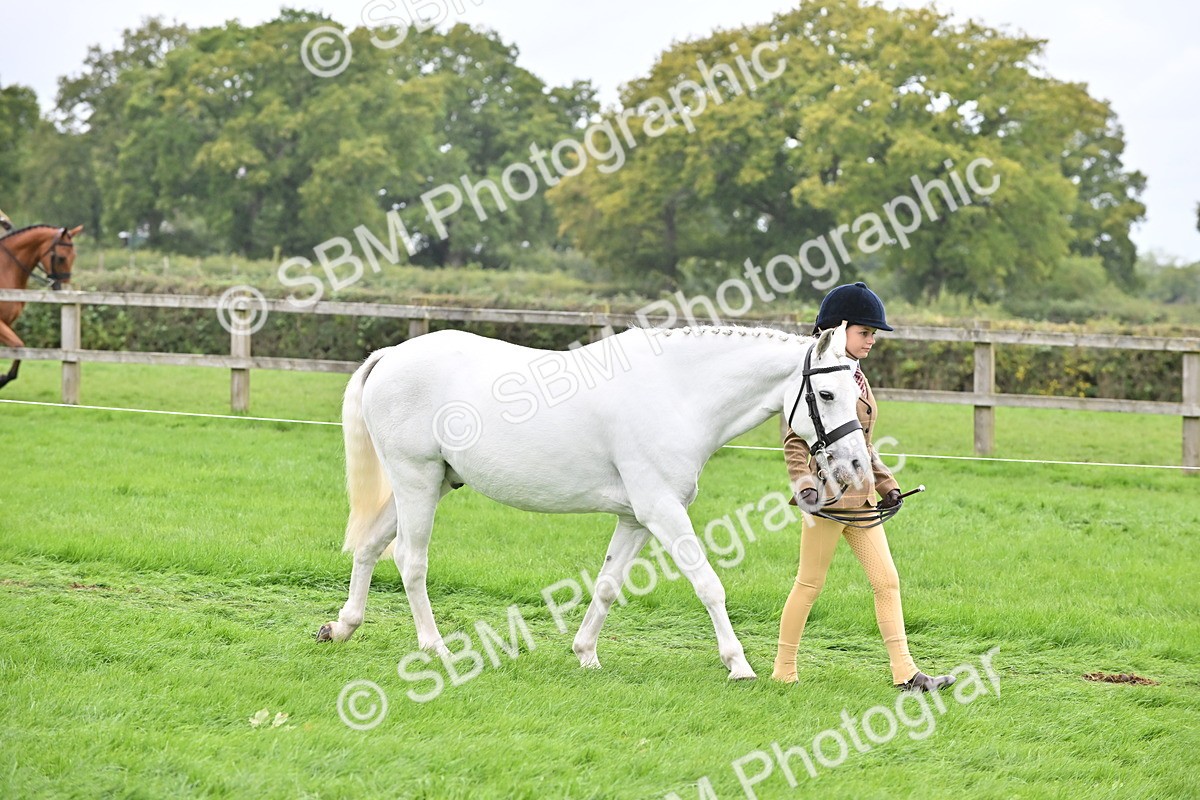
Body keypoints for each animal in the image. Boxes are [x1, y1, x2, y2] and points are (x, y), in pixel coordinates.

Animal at [0, 225, 83, 390]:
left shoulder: (7, 323)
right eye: (61, 258)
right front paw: (2, 380)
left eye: (74, 256)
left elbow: (18, 348)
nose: (64, 288)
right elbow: (19, 345)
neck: (5, 268)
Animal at [318, 321, 870, 680]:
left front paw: (585, 653)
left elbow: (606, 585)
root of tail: (391, 354)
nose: (856, 466)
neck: (677, 394)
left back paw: (343, 627)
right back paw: (436, 650)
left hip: (428, 484)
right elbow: (708, 584)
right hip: (415, 479)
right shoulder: (662, 511)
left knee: (369, 546)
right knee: (411, 562)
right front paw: (738, 664)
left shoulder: (635, 519)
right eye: (826, 395)